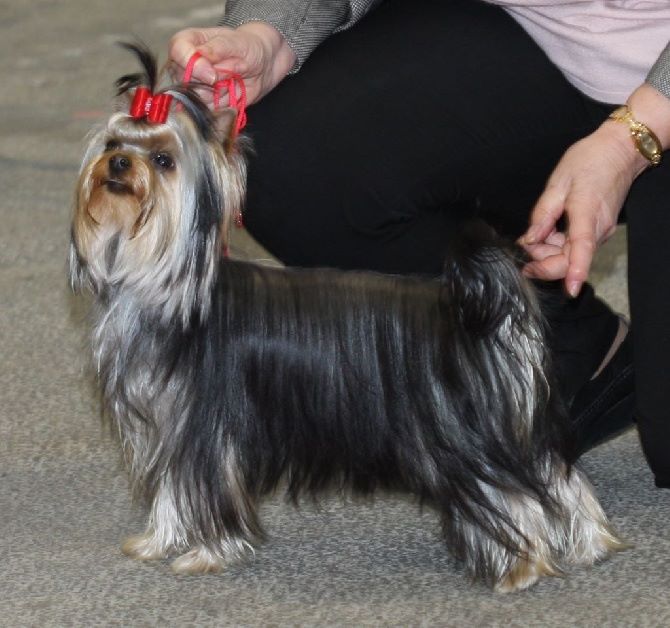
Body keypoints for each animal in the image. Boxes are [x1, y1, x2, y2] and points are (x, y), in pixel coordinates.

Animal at [68, 43, 624, 588]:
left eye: (164, 159)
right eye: (113, 141)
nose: (119, 164)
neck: (159, 281)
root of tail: (478, 308)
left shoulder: (204, 427)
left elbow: (203, 491)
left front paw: (206, 554)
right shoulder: (168, 427)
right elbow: (171, 491)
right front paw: (157, 542)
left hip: (464, 436)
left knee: (508, 492)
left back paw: (519, 568)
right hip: (511, 425)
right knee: (558, 474)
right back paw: (592, 544)